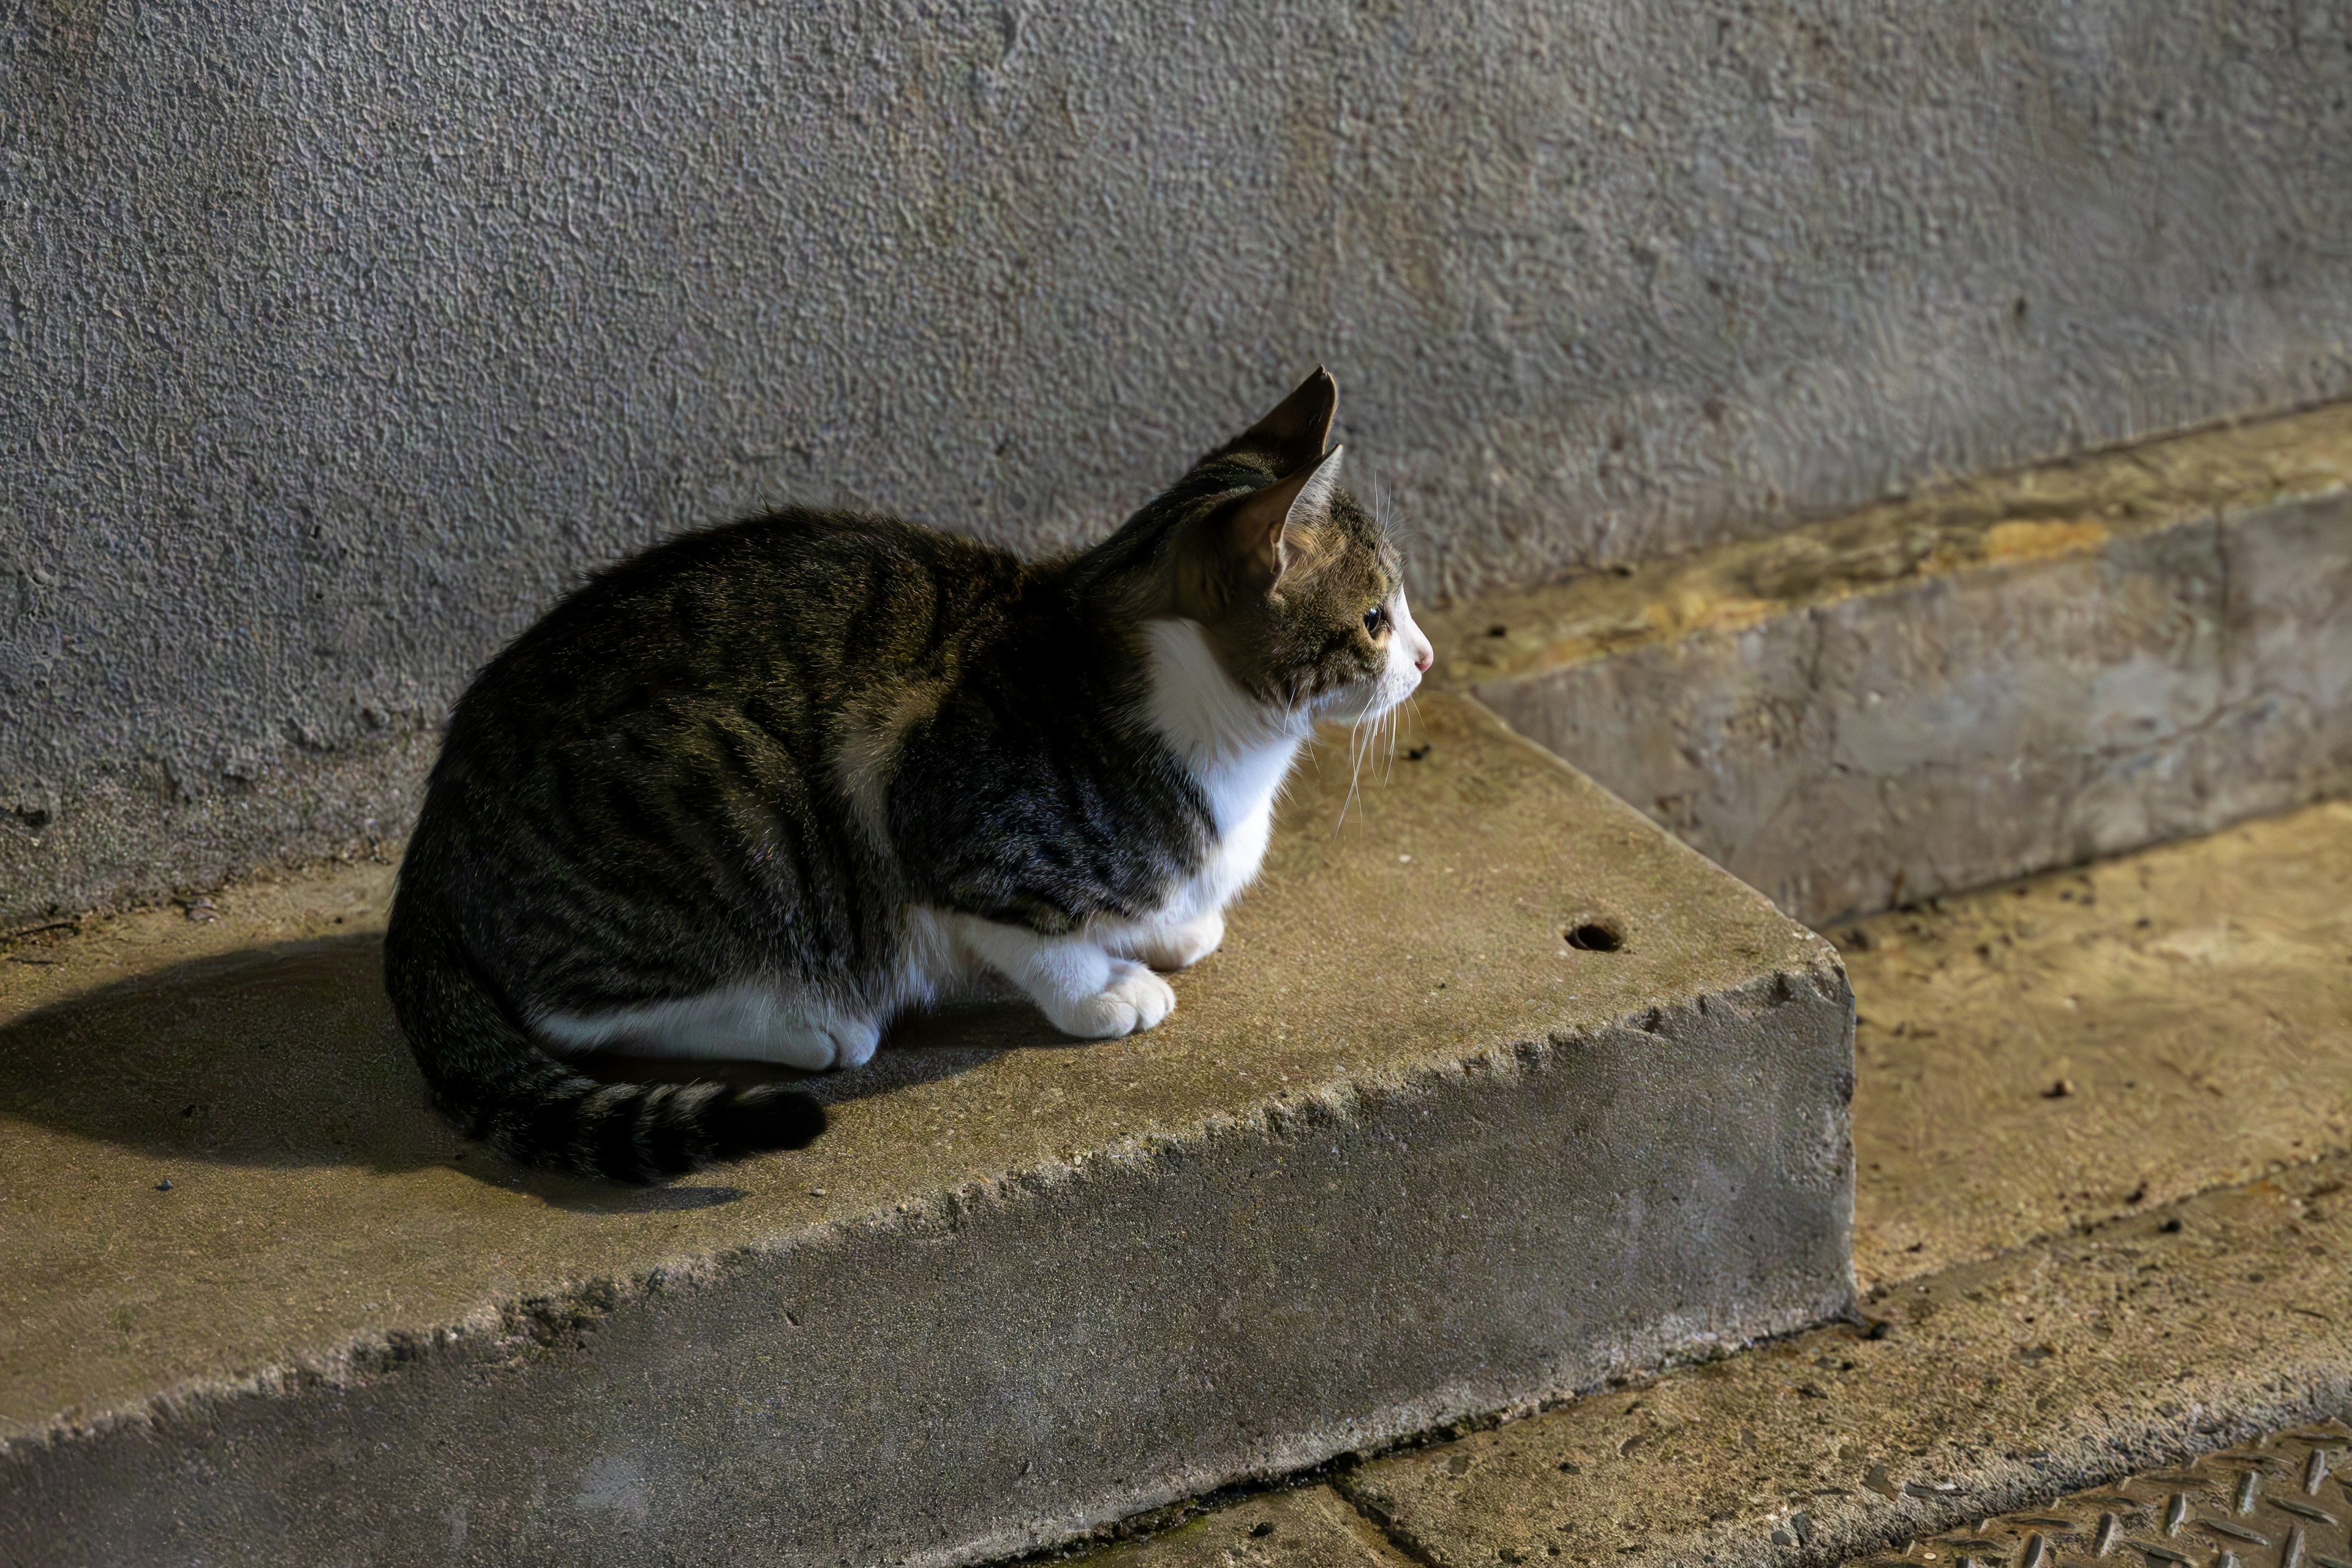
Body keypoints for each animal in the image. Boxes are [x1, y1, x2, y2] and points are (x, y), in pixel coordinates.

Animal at [381, 369, 1430, 1175]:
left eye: (1402, 606)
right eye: (1376, 619)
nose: (1424, 659)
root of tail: (429, 854)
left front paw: (1169, 928)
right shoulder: (939, 823)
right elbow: (1030, 936)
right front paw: (1102, 989)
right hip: (735, 802)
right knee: (572, 1011)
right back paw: (804, 1025)